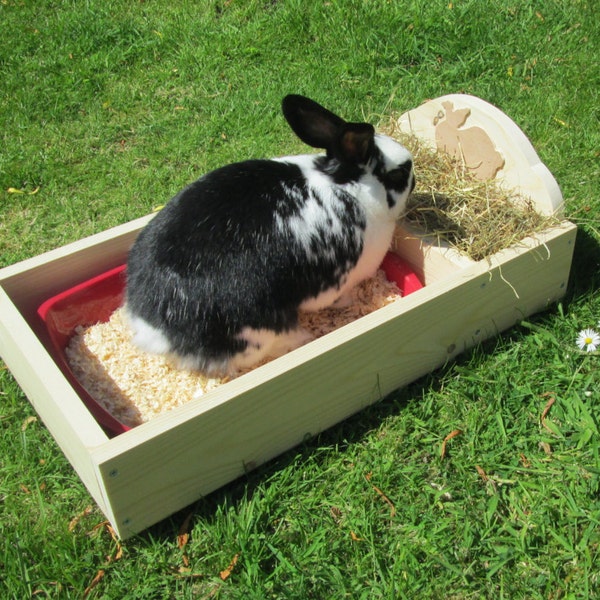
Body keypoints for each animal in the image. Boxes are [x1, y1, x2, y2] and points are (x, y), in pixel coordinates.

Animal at [125, 94, 418, 376]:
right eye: (399, 173)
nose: (415, 180)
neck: (343, 183)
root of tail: (156, 330)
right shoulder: (335, 282)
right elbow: (336, 299)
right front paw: (351, 300)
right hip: (257, 330)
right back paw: (302, 338)